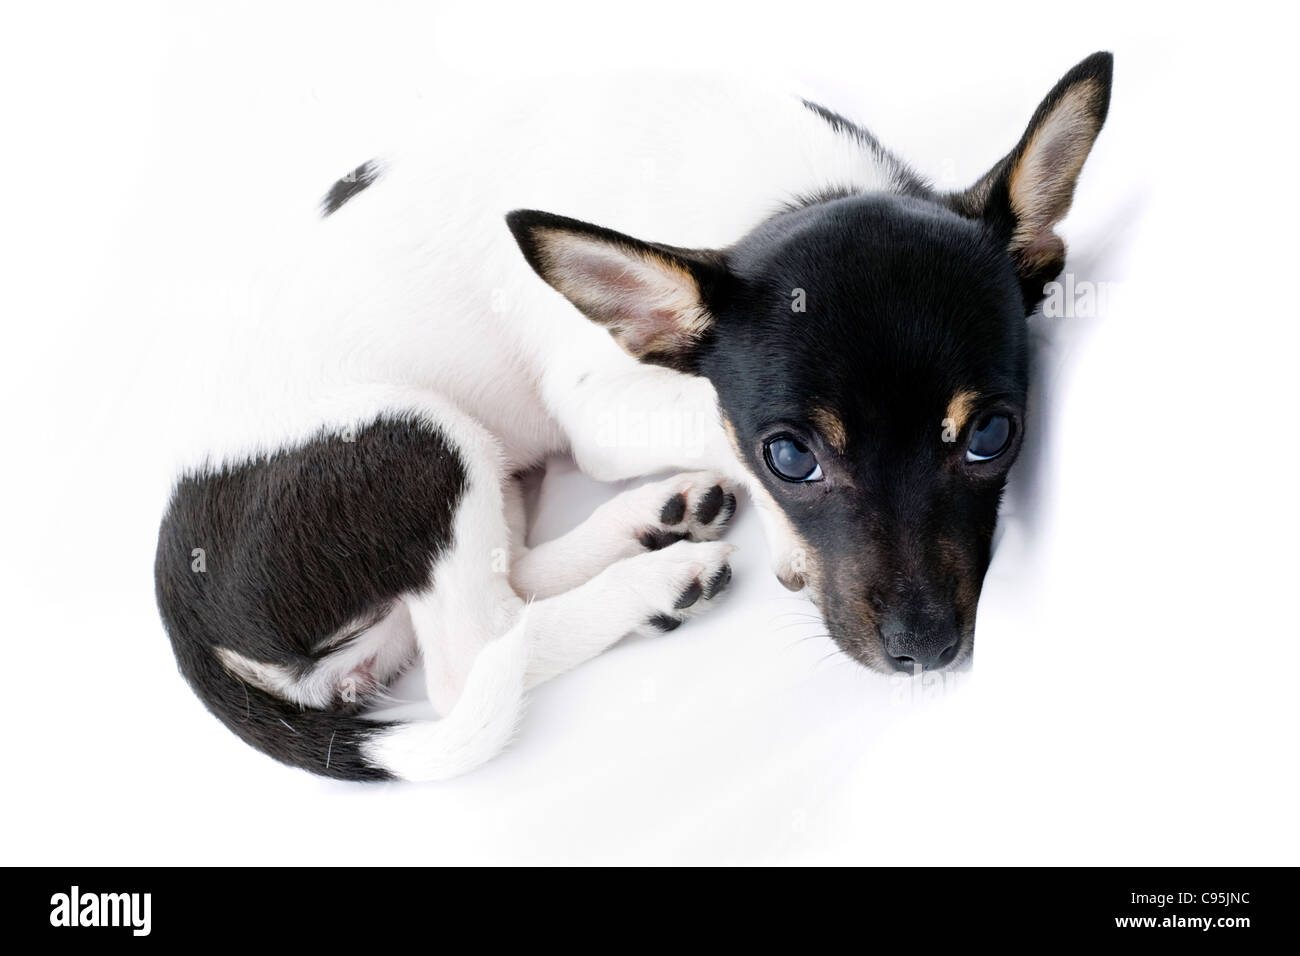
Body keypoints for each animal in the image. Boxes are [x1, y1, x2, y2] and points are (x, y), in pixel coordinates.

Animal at [149, 52, 1107, 780]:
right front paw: (779, 529)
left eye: (991, 437)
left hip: (483, 475)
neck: (787, 195)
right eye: (791, 458)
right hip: (422, 440)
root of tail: (179, 597)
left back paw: (658, 520)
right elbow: (715, 419)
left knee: (509, 577)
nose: (928, 650)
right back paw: (652, 581)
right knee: (475, 659)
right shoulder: (601, 413)